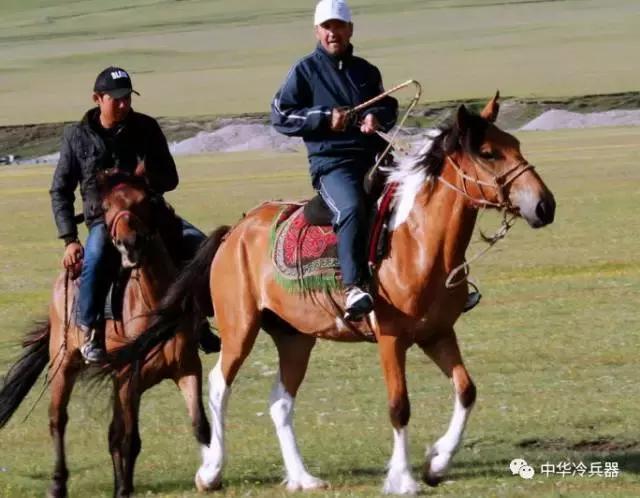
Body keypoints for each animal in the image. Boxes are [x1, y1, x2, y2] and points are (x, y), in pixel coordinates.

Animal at [0, 172, 216, 498]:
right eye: (106, 206)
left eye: (145, 200)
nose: (129, 244)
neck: (155, 306)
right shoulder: (129, 378)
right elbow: (129, 439)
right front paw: (123, 489)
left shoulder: (186, 367)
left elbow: (200, 426)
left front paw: (209, 475)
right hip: (64, 364)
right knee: (58, 419)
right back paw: (57, 483)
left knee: (111, 431)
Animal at [105, 93, 556, 494]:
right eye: (488, 153)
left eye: (515, 145)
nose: (544, 205)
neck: (418, 242)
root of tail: (235, 232)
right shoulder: (391, 338)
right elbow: (399, 405)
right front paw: (402, 479)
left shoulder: (437, 333)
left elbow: (466, 390)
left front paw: (437, 463)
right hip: (240, 328)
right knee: (219, 385)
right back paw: (211, 472)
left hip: (295, 337)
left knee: (280, 401)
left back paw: (302, 478)